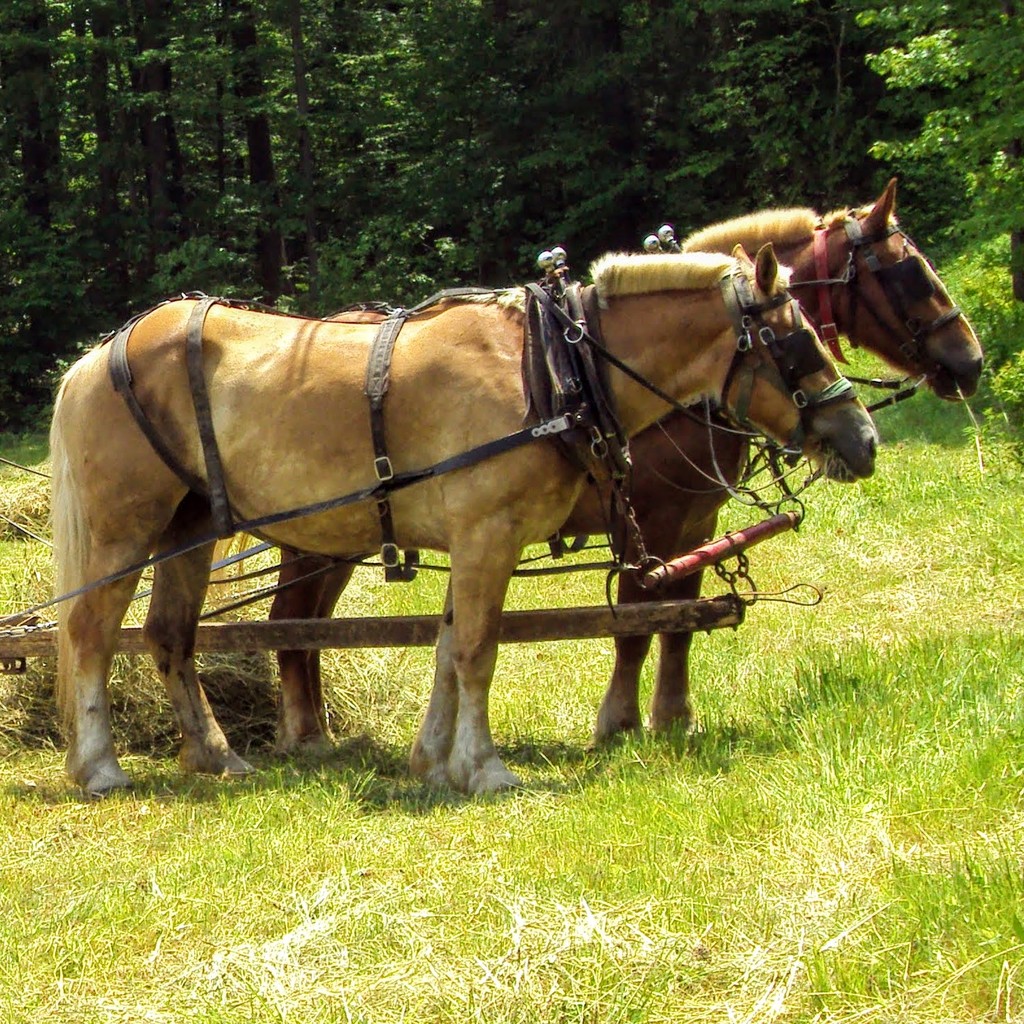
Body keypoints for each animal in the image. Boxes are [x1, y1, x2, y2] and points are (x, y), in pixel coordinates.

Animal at [51, 243, 876, 794]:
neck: (553, 368)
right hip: (124, 529)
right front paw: (483, 767)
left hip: (191, 524)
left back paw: (217, 754)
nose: (862, 438)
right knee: (90, 632)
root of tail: (96, 357)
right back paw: (100, 767)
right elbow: (478, 649)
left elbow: (449, 647)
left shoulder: (474, 540)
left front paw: (433, 759)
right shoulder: (489, 534)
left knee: (170, 636)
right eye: (795, 339)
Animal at [264, 176, 983, 753]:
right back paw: (307, 735)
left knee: (308, 626)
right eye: (909, 273)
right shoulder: (653, 521)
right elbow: (638, 623)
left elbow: (681, 622)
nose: (970, 362)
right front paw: (620, 722)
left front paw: (674, 715)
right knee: (288, 623)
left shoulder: (695, 523)